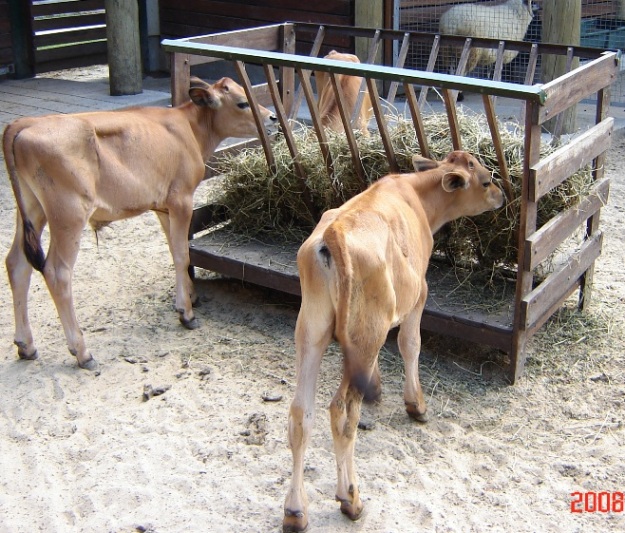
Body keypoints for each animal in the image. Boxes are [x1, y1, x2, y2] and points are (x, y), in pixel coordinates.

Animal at [3, 77, 276, 372]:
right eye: (242, 103)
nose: (272, 117)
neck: (189, 127)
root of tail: (24, 123)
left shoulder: (164, 207)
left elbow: (175, 251)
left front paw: (188, 298)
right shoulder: (182, 199)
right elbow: (183, 254)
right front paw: (187, 314)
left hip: (33, 209)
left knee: (17, 263)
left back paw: (26, 345)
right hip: (68, 213)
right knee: (57, 272)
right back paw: (82, 352)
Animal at [282, 151, 502, 532]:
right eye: (486, 179)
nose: (501, 195)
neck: (417, 195)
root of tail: (334, 233)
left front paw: (377, 385)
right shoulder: (419, 294)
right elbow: (410, 345)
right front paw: (417, 405)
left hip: (313, 330)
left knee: (301, 413)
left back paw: (295, 511)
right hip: (365, 326)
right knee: (341, 412)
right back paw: (350, 498)